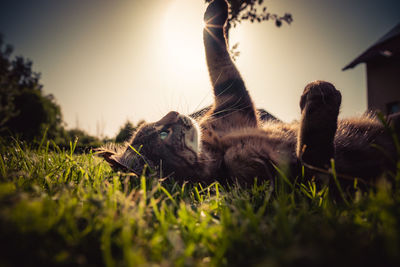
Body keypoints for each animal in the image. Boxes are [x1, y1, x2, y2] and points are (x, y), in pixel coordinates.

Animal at [96, 0, 396, 188]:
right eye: (163, 134)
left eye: (157, 124)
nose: (173, 113)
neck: (215, 147)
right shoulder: (293, 174)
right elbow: (314, 153)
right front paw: (319, 98)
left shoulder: (231, 101)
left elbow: (215, 52)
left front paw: (214, 11)